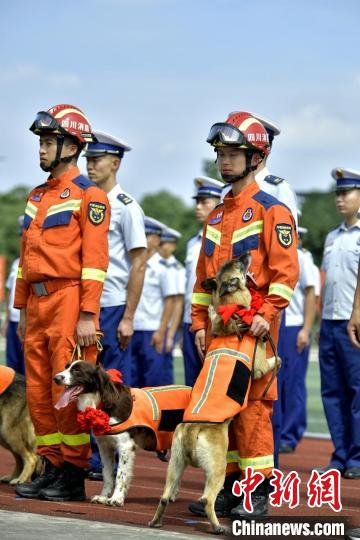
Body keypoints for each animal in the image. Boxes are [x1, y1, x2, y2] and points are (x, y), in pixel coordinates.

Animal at [53, 362, 191, 506]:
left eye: (77, 370)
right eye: (66, 367)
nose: (56, 378)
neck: (102, 402)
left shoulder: (125, 446)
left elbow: (121, 474)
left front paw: (116, 498)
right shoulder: (105, 447)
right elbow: (107, 474)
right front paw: (103, 497)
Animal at [149, 254, 278, 536]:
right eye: (238, 265)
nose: (244, 254)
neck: (234, 308)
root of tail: (192, 429)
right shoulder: (260, 366)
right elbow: (271, 360)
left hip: (175, 466)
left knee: (164, 496)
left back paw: (156, 522)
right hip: (216, 469)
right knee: (207, 498)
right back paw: (218, 527)